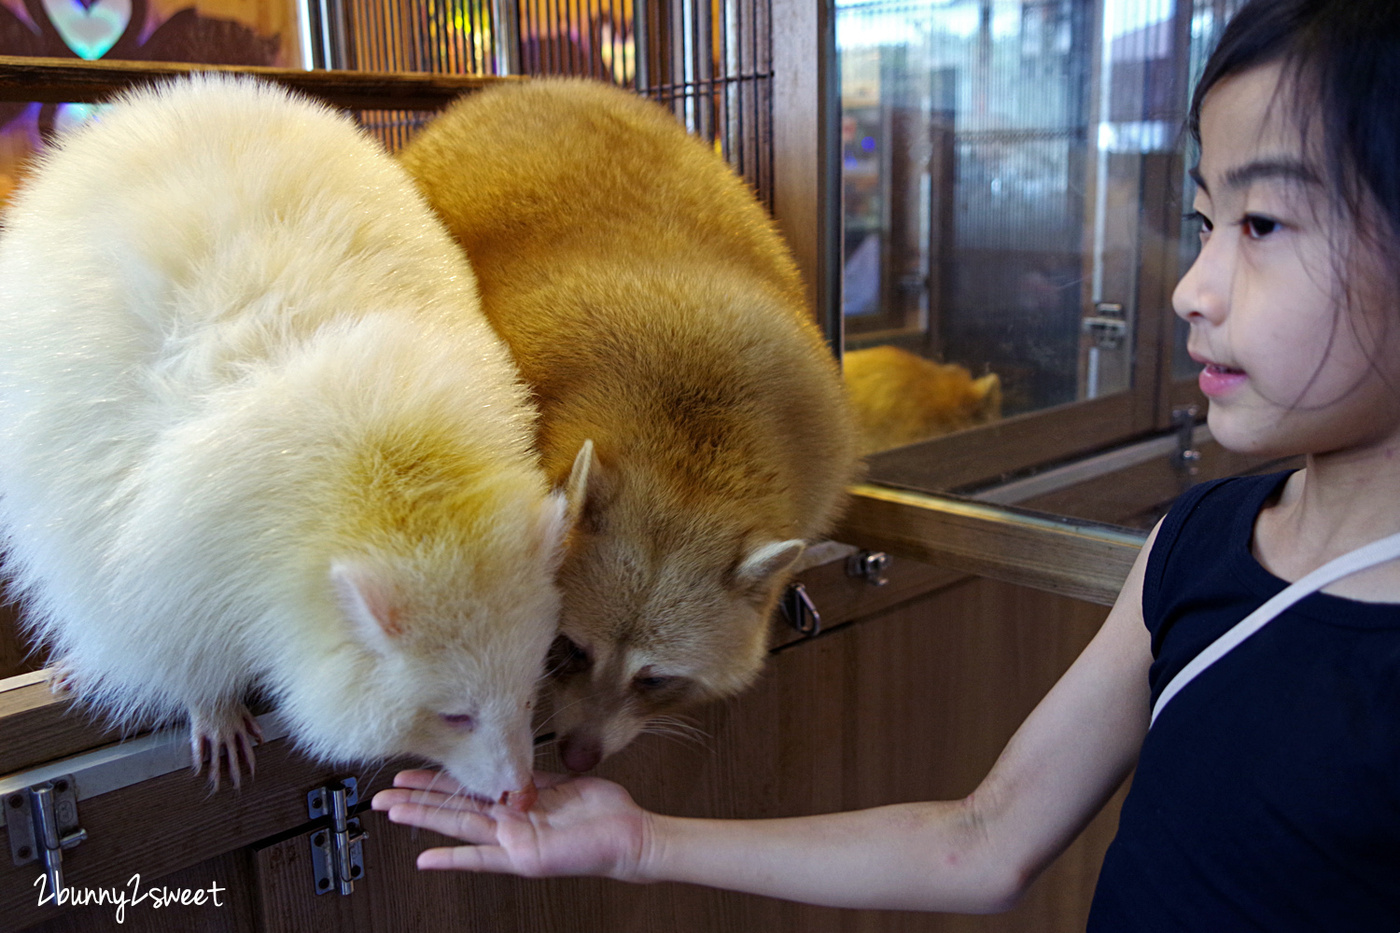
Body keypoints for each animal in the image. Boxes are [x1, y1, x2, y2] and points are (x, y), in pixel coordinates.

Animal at [403, 78, 862, 762]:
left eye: (655, 679)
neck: (690, 457)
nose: (577, 756)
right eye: (566, 649)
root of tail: (532, 85)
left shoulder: (817, 439)